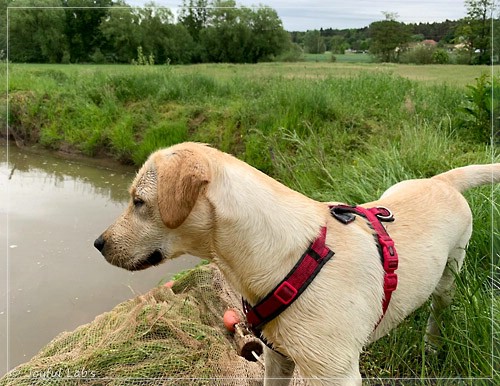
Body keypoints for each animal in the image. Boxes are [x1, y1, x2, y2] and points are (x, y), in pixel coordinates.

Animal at [95, 142, 498, 386]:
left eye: (139, 201)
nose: (98, 244)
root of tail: (441, 181)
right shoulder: (277, 359)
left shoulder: (337, 374)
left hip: (450, 275)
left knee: (437, 312)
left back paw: (431, 345)